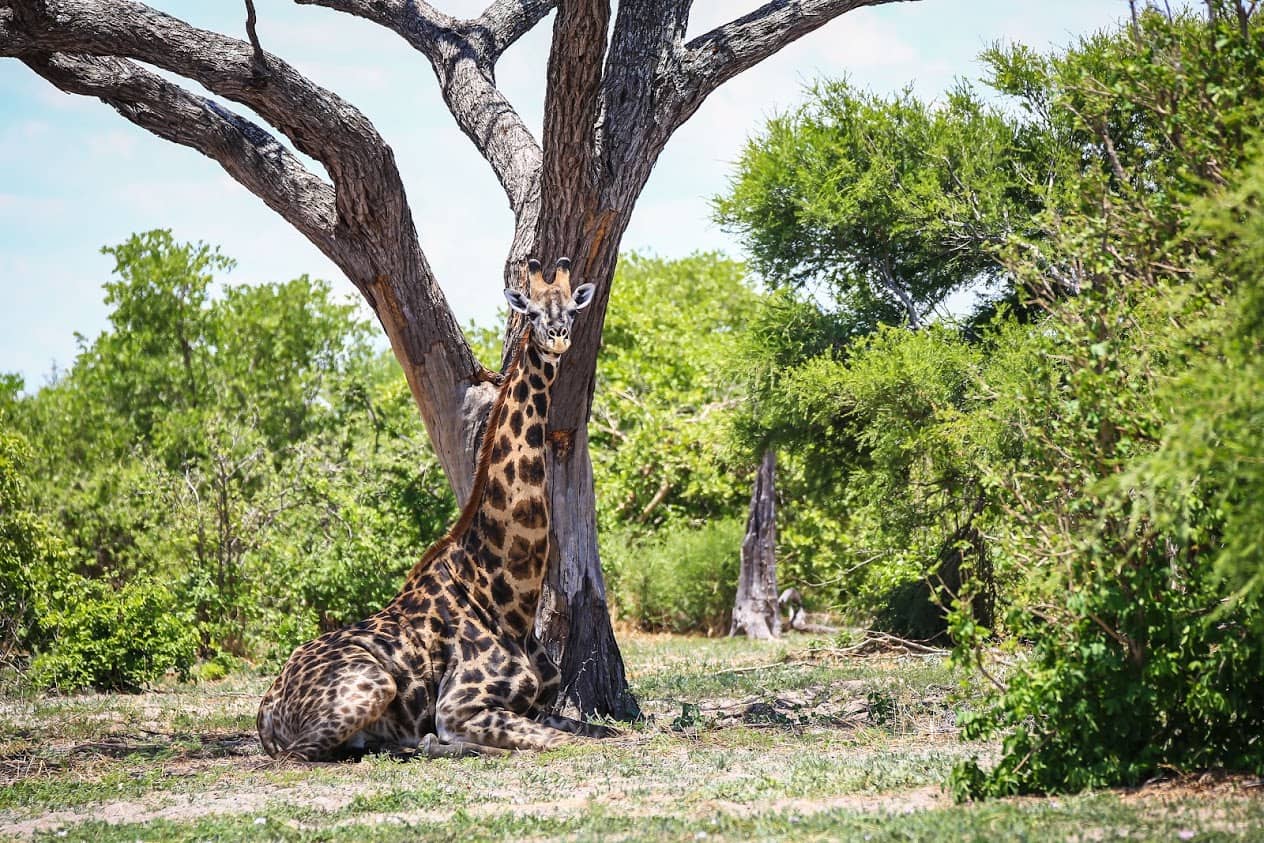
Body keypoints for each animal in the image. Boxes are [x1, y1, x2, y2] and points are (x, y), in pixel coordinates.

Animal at [257, 257, 615, 760]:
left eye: (571, 308)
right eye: (530, 311)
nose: (558, 336)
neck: (511, 605)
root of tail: (266, 708)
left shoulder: (540, 704)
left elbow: (607, 731)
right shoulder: (459, 707)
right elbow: (563, 743)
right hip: (373, 685)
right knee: (310, 752)